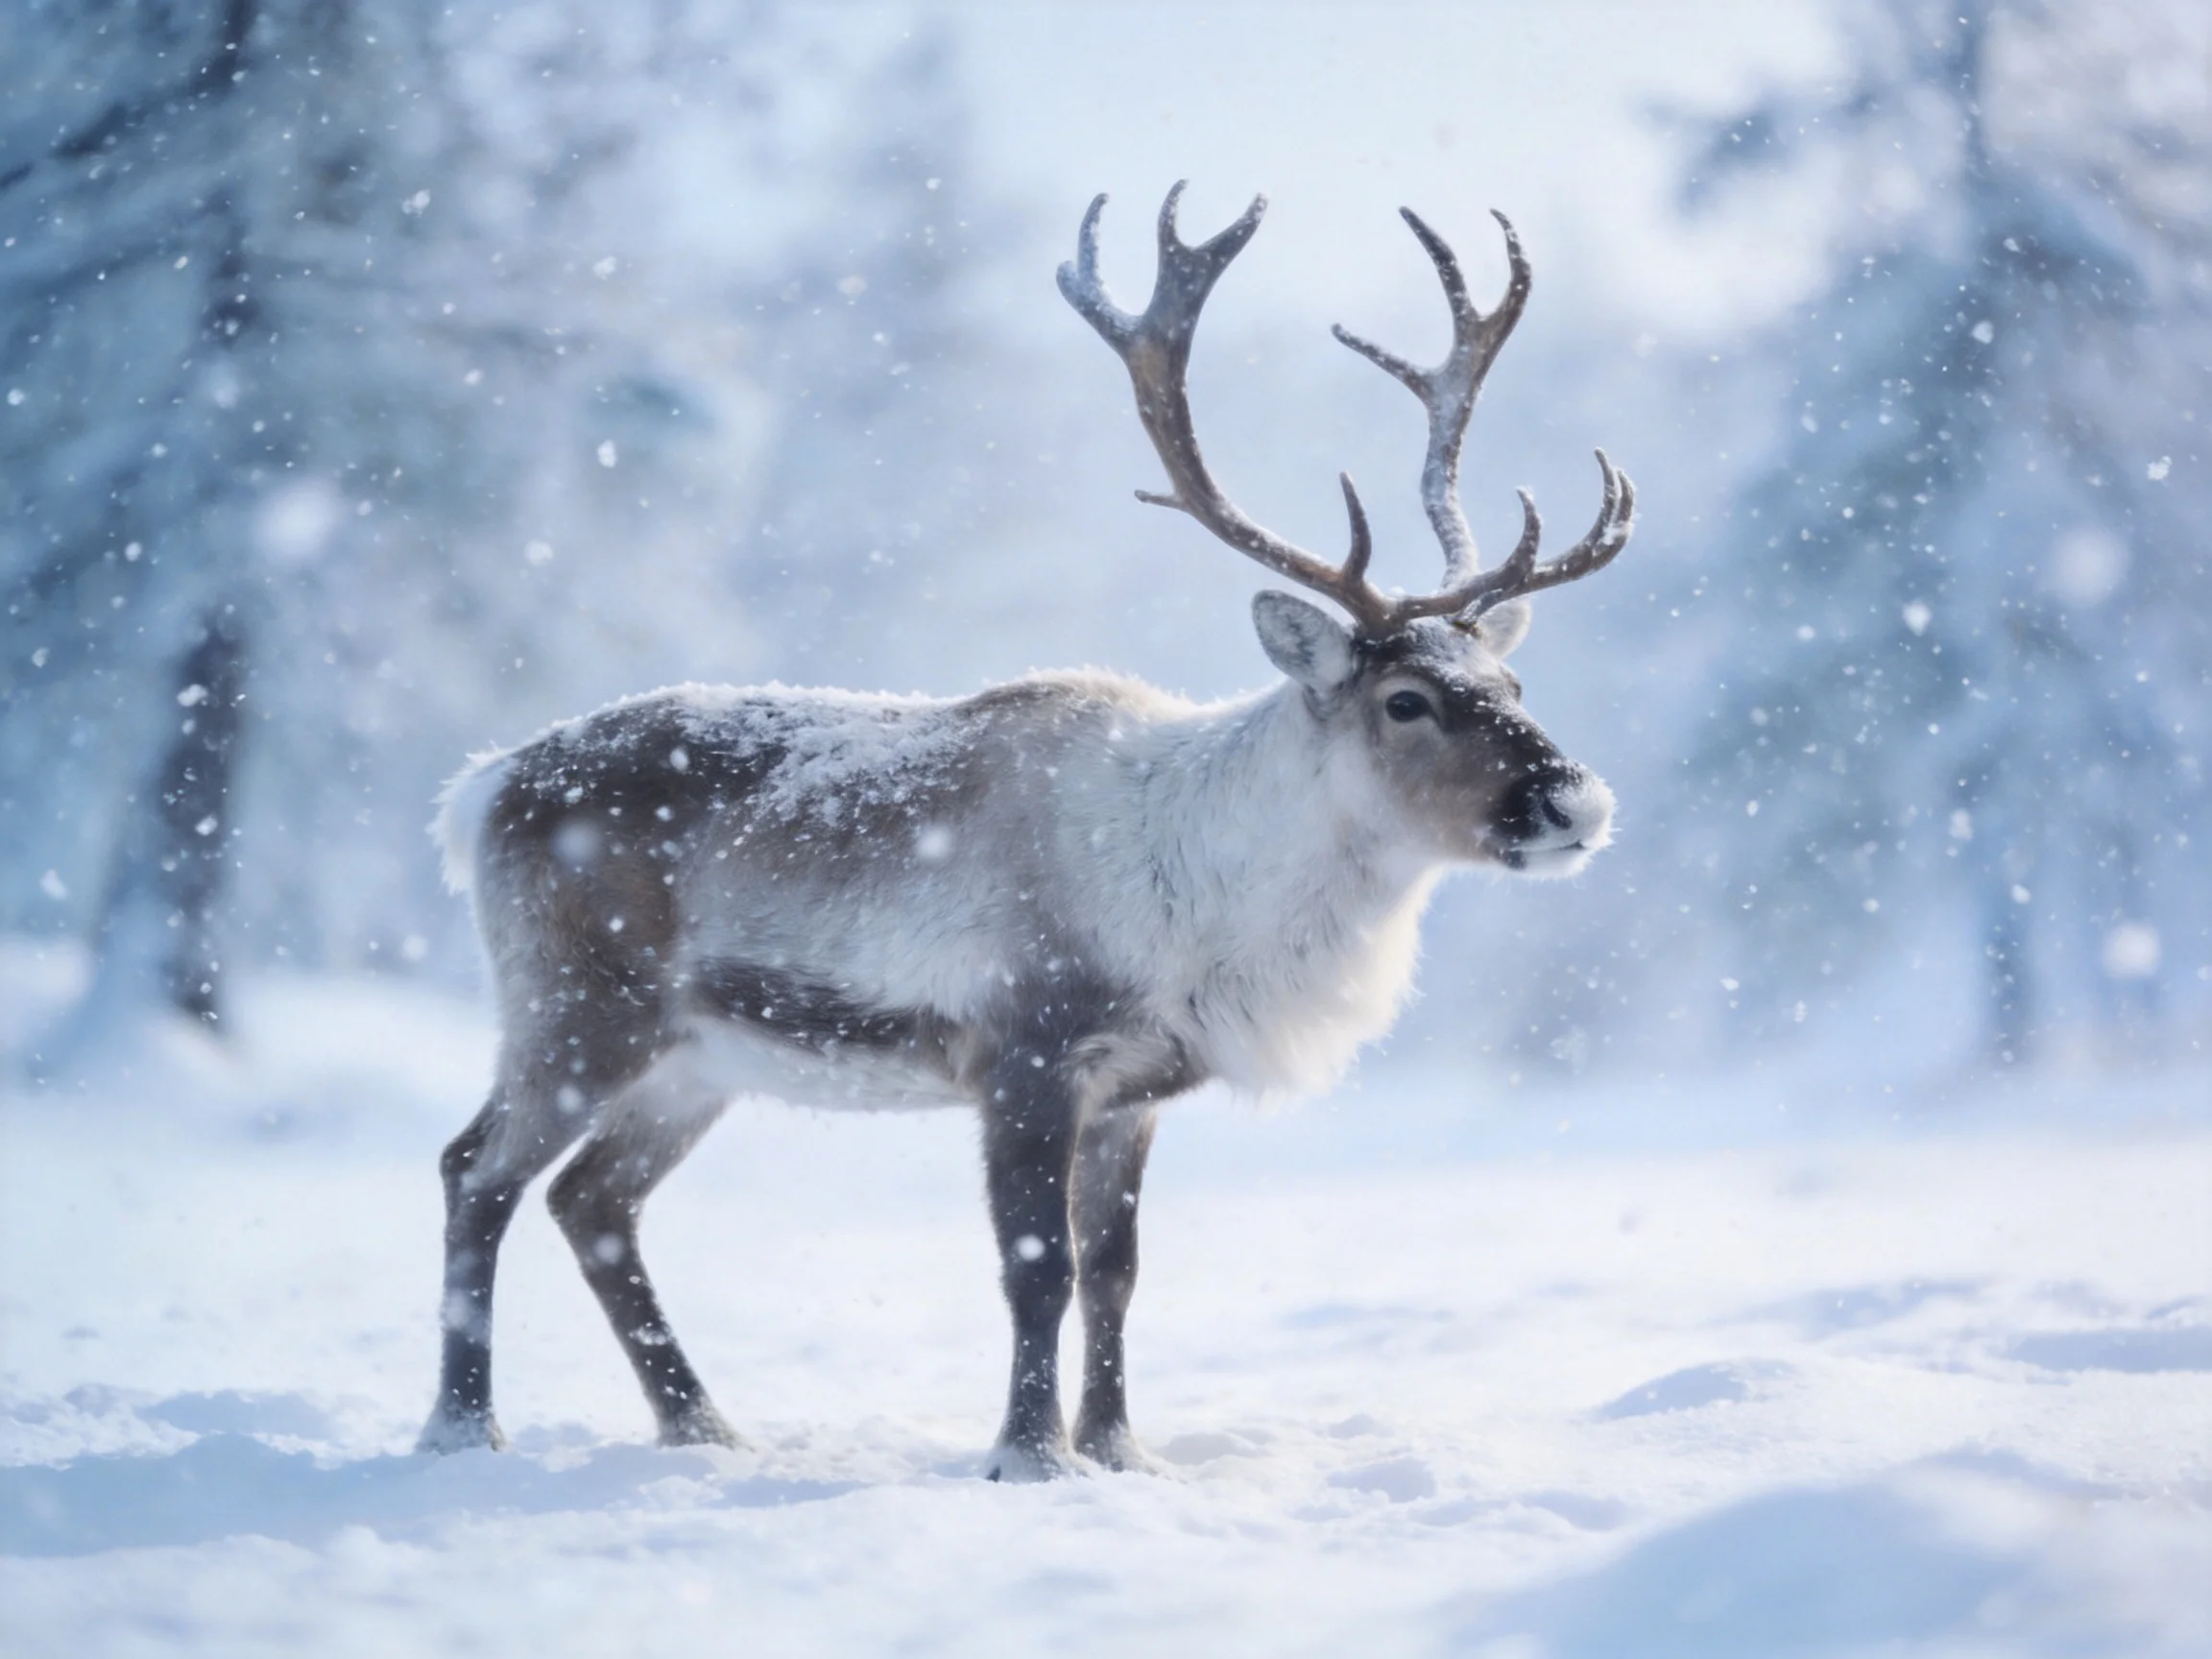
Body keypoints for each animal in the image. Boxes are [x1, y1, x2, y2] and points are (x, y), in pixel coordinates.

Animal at [417, 184, 1633, 1480]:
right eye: (1406, 700)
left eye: (1510, 686)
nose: (1577, 802)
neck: (1209, 905)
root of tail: (480, 787)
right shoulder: (1026, 1052)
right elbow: (1036, 1269)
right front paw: (1029, 1454)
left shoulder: (1138, 1087)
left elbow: (1116, 1274)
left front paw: (1120, 1450)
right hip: (575, 1009)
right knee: (476, 1171)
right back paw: (462, 1426)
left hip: (695, 1058)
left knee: (593, 1200)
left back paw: (704, 1425)